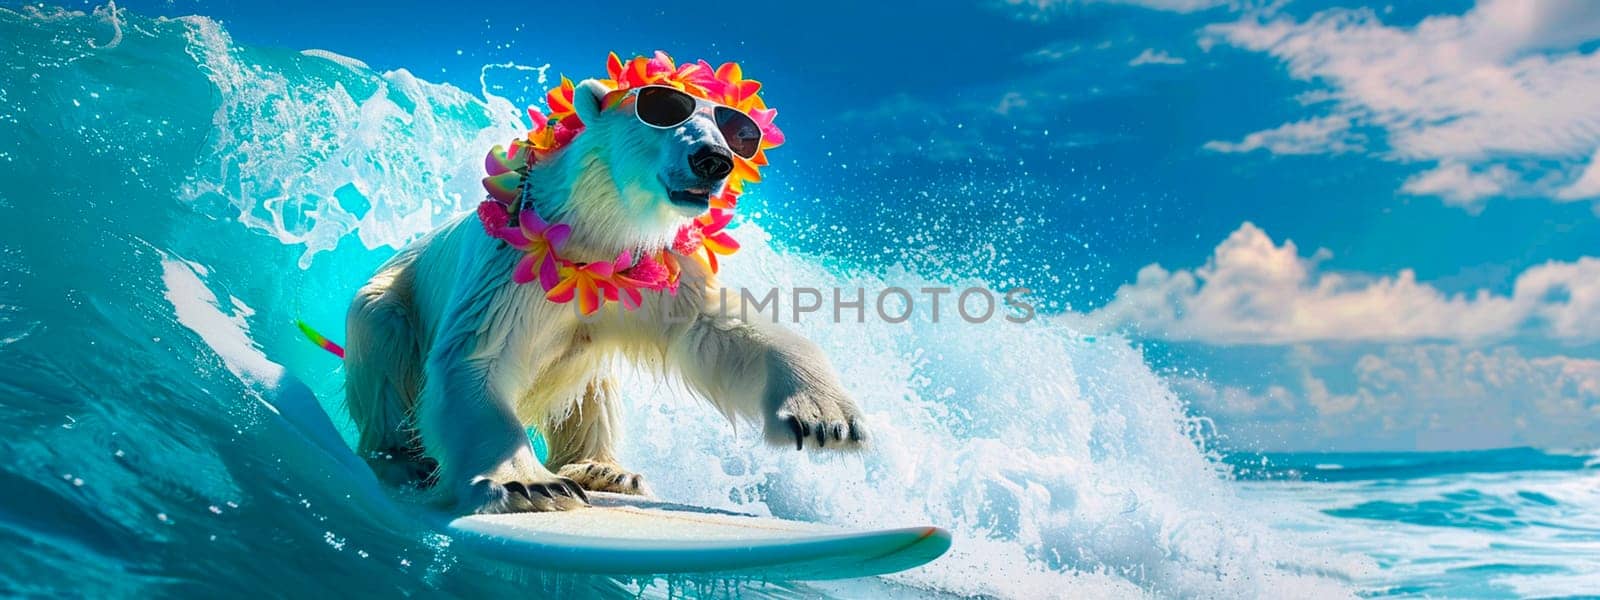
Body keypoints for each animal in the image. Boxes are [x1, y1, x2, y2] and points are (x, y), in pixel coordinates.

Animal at [336, 77, 864, 515]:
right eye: (665, 108)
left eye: (735, 128)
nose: (713, 159)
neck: (595, 238)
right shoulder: (512, 263)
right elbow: (479, 355)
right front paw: (531, 485)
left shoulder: (649, 274)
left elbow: (719, 330)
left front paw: (825, 418)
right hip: (390, 299)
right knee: (382, 341)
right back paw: (402, 458)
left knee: (593, 386)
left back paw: (604, 469)